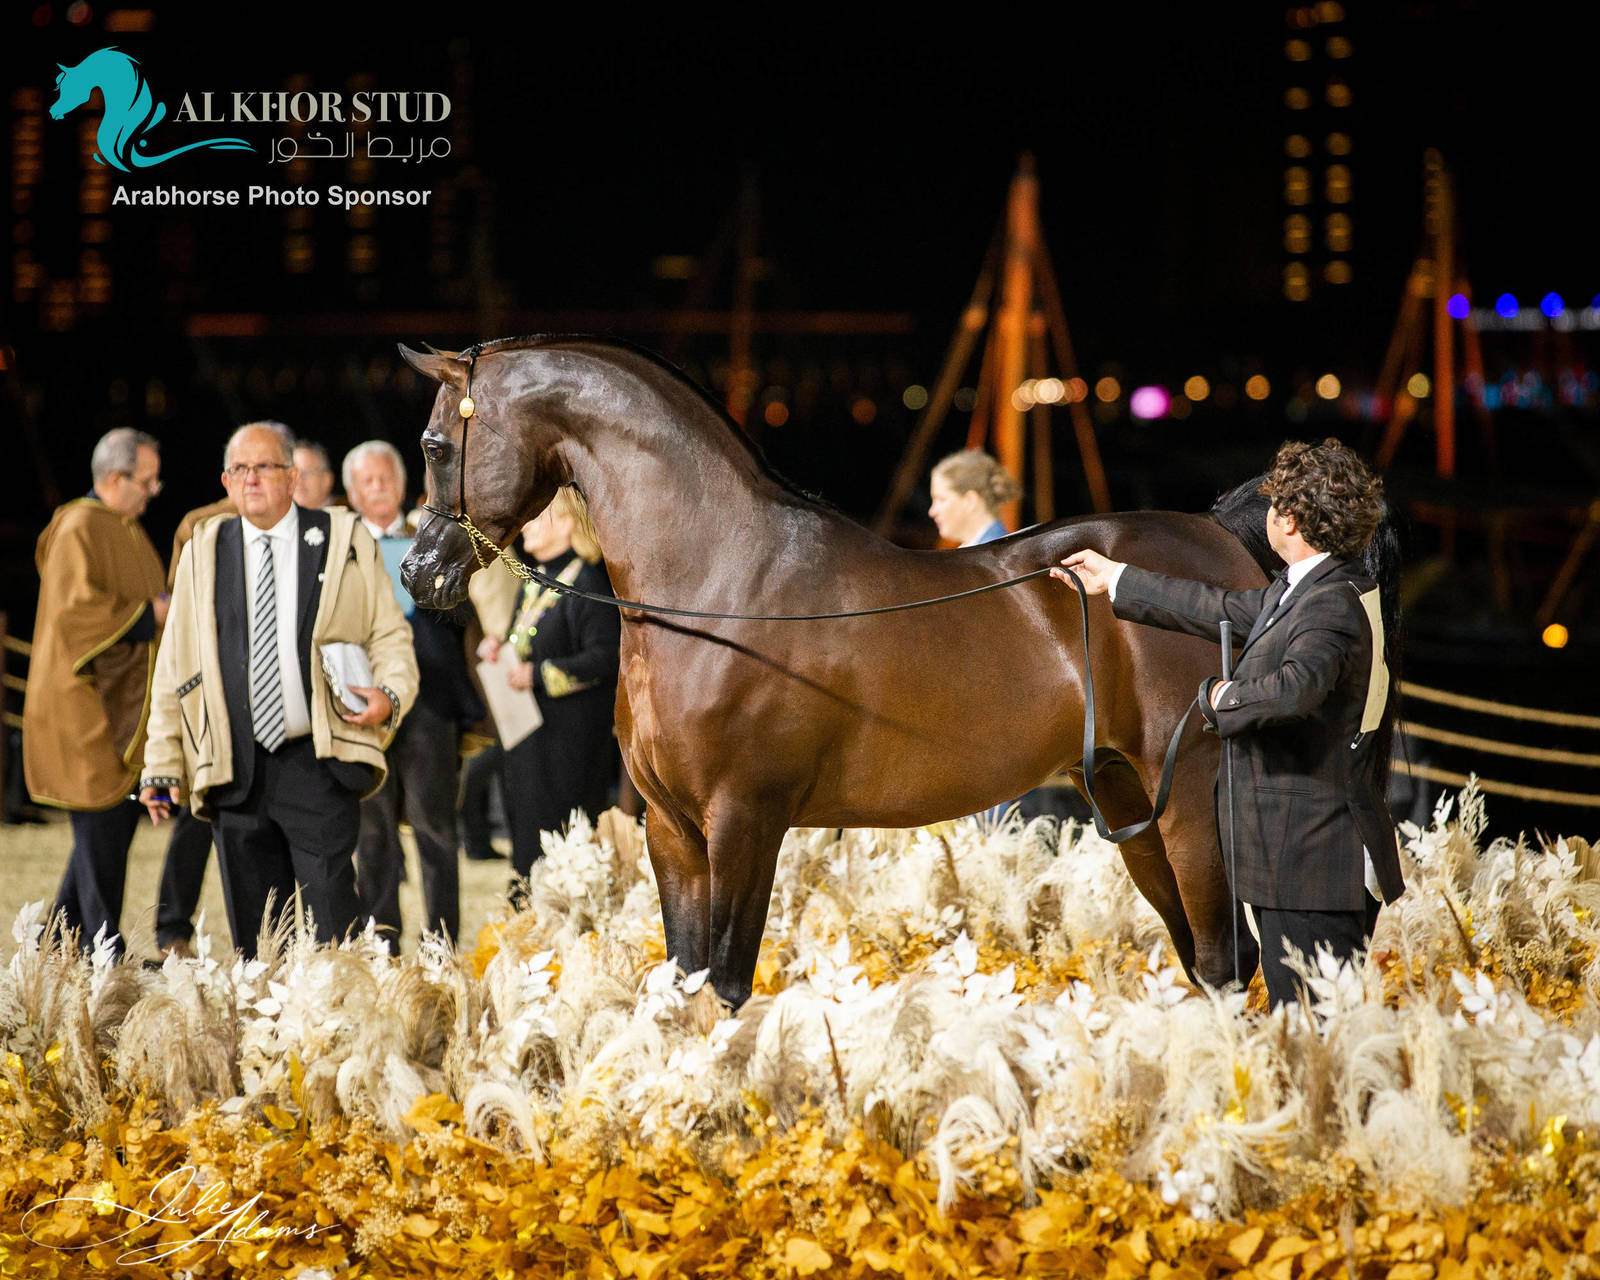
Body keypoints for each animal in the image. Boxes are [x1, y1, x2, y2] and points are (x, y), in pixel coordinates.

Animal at [397, 336, 1295, 1008]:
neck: (719, 585)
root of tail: (1219, 540)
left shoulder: (745, 821)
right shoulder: (672, 831)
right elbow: (684, 984)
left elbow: (725, 987)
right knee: (1209, 958)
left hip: (1189, 803)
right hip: (1125, 798)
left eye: (437, 446)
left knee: (1225, 963)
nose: (417, 573)